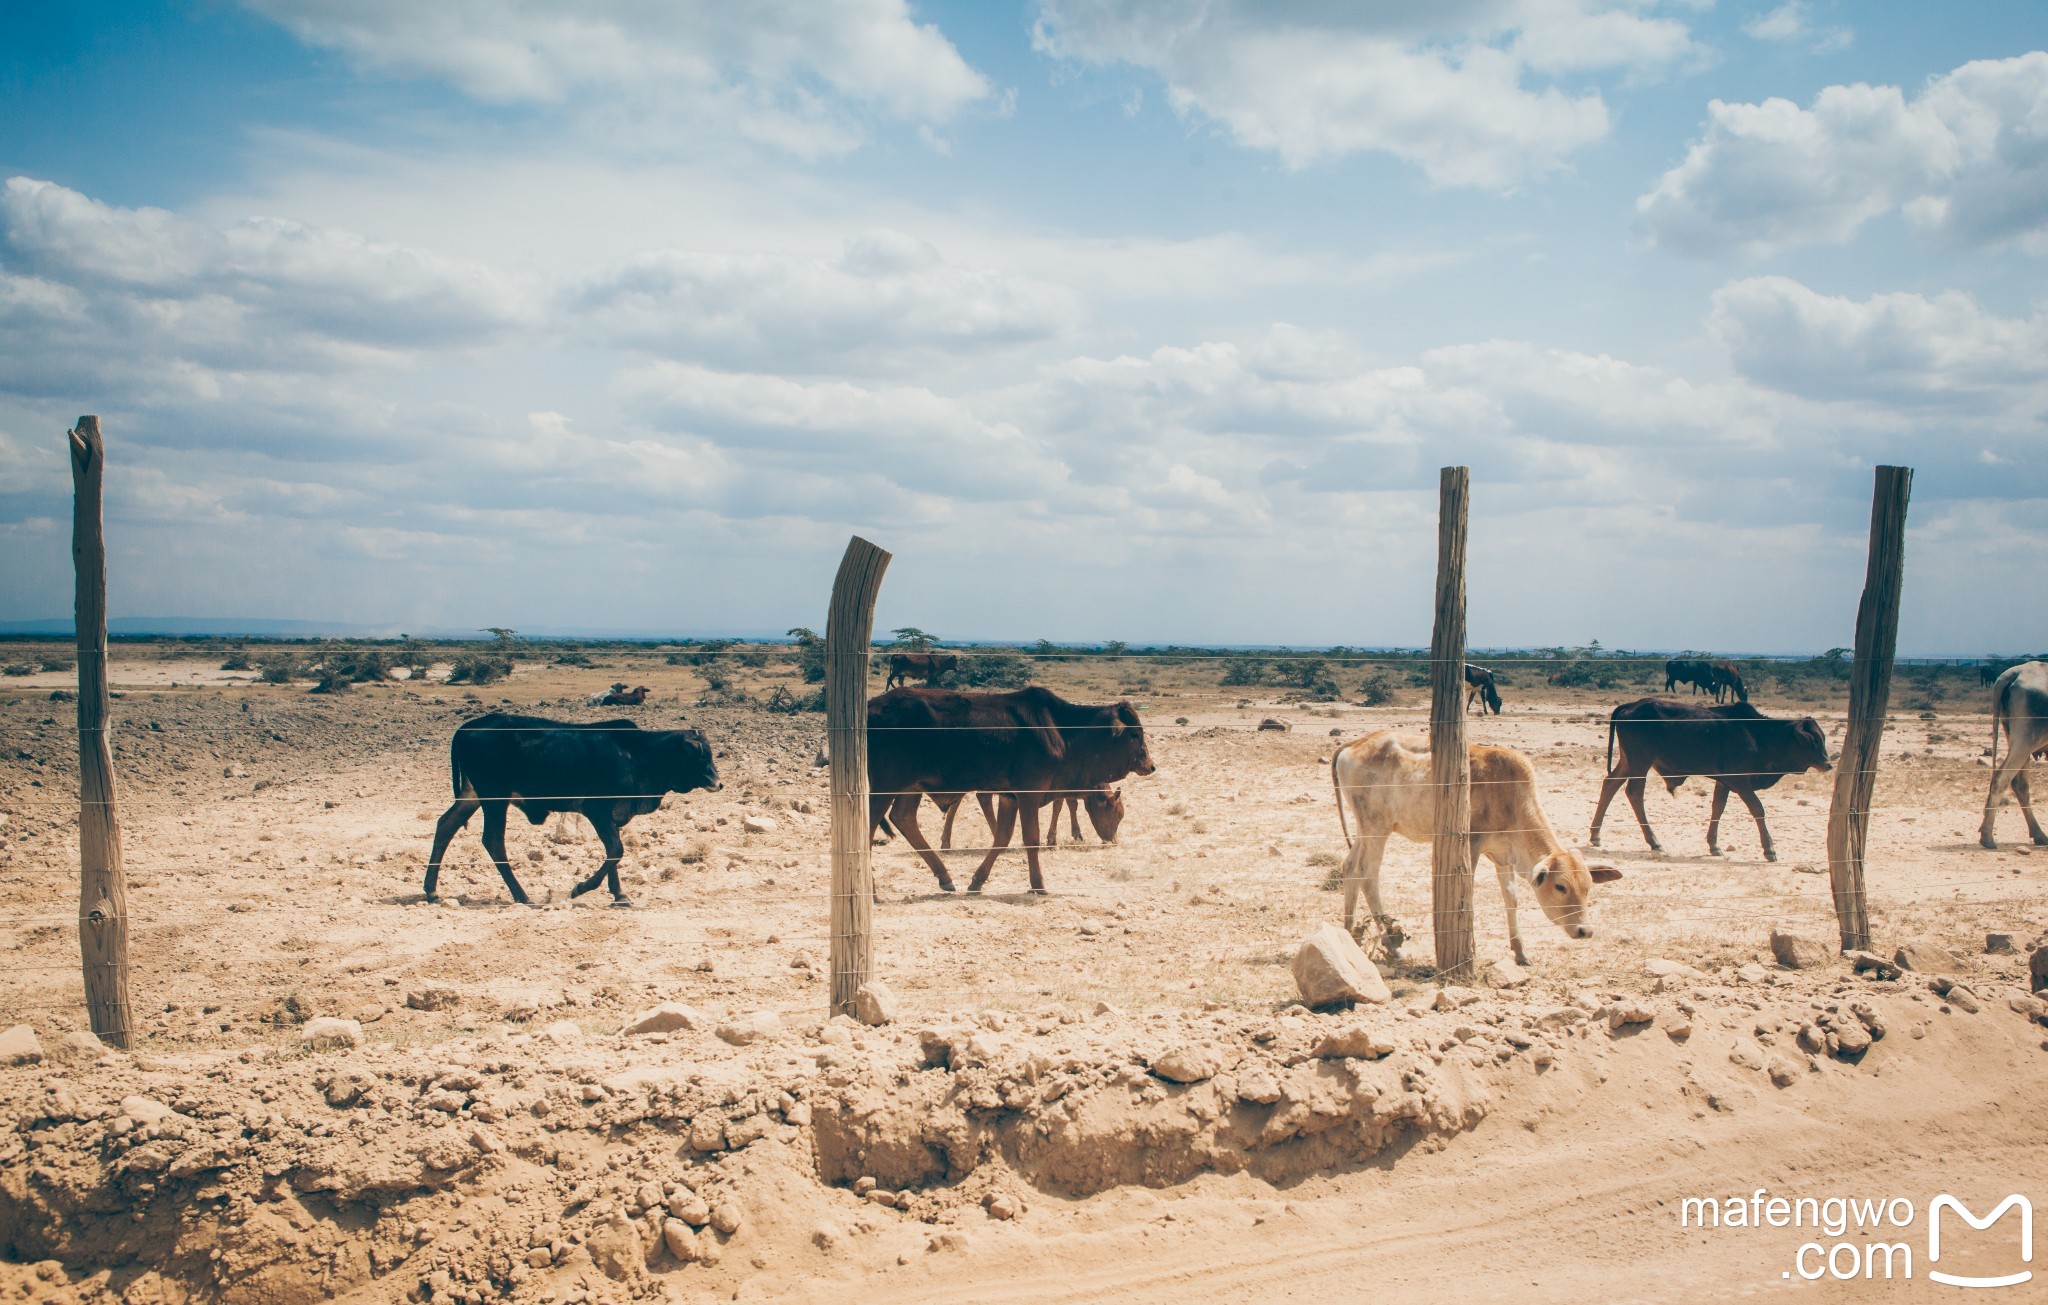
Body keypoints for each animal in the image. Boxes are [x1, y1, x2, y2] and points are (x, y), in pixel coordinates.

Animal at [423, 712, 720, 905]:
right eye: (701, 754)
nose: (718, 783)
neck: (638, 755)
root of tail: (465, 729)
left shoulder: (612, 817)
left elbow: (613, 852)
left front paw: (619, 894)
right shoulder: (597, 811)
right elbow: (616, 850)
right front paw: (582, 888)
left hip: (473, 795)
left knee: (445, 826)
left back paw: (431, 891)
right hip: (494, 798)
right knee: (493, 841)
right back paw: (522, 896)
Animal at [864, 688, 1155, 889]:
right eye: (1134, 734)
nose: (1150, 765)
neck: (1061, 731)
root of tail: (870, 707)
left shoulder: (1009, 797)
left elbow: (1002, 838)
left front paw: (977, 881)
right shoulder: (1028, 794)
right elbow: (1031, 837)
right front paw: (1038, 884)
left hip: (910, 787)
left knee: (903, 818)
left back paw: (945, 877)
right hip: (885, 786)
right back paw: (874, 892)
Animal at [1335, 733, 1622, 966]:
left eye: (1588, 887)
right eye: (1561, 886)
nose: (1585, 931)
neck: (1511, 795)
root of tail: (1354, 744)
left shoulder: (1504, 858)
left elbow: (1511, 900)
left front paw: (1521, 953)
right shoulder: (1471, 847)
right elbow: (1468, 896)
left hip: (1365, 828)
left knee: (1350, 867)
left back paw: (1349, 932)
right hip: (1377, 827)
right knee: (1367, 874)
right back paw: (1392, 946)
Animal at [1589, 696, 1835, 860]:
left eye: (1822, 738)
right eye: (1814, 740)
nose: (1828, 764)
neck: (1759, 735)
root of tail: (1630, 706)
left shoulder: (1724, 781)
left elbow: (1718, 808)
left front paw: (1714, 845)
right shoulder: (1739, 780)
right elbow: (1757, 808)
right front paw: (1769, 849)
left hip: (1628, 761)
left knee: (1610, 784)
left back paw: (1596, 834)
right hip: (1641, 761)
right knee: (1634, 793)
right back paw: (1653, 841)